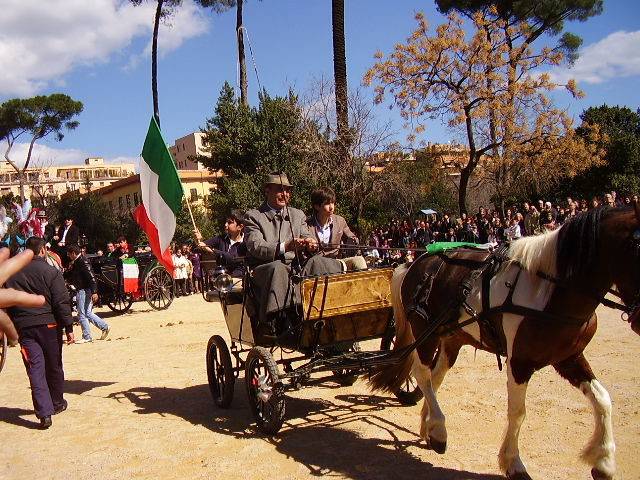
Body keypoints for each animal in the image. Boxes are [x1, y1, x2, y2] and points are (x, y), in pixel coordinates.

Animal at [370, 204, 640, 478]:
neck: (549, 291)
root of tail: (415, 262)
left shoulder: (568, 358)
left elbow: (602, 399)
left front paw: (604, 461)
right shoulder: (520, 362)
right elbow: (518, 412)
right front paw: (513, 463)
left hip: (452, 337)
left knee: (434, 378)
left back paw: (430, 428)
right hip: (425, 332)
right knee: (422, 374)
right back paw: (438, 428)